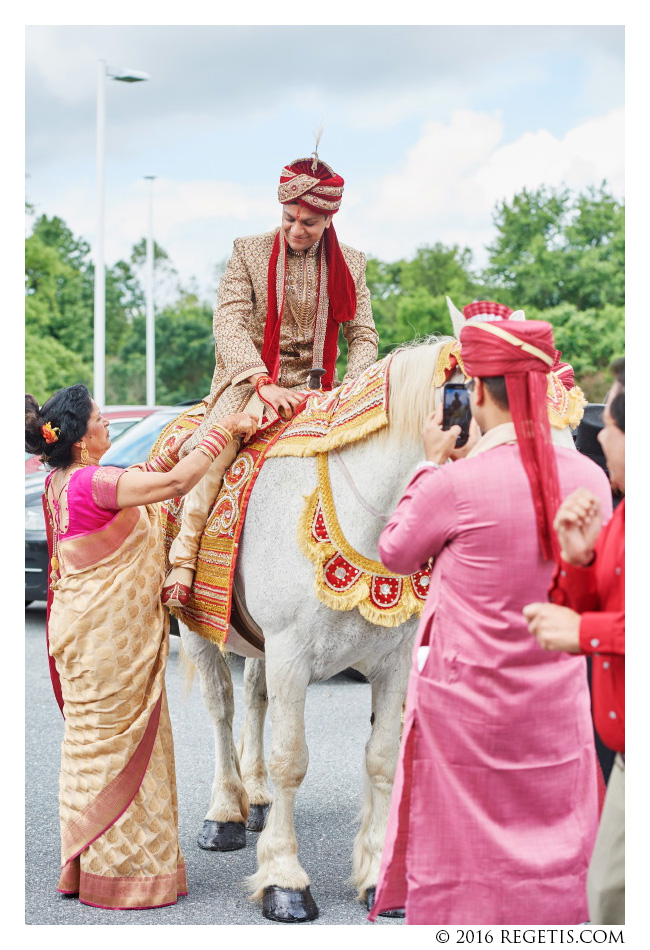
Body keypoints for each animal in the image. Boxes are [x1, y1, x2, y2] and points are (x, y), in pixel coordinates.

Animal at [176, 338, 572, 924]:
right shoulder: (291, 653)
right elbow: (292, 760)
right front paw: (285, 881)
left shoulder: (394, 660)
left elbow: (384, 758)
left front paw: (378, 880)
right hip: (199, 628)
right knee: (222, 708)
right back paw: (225, 811)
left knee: (254, 698)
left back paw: (257, 796)